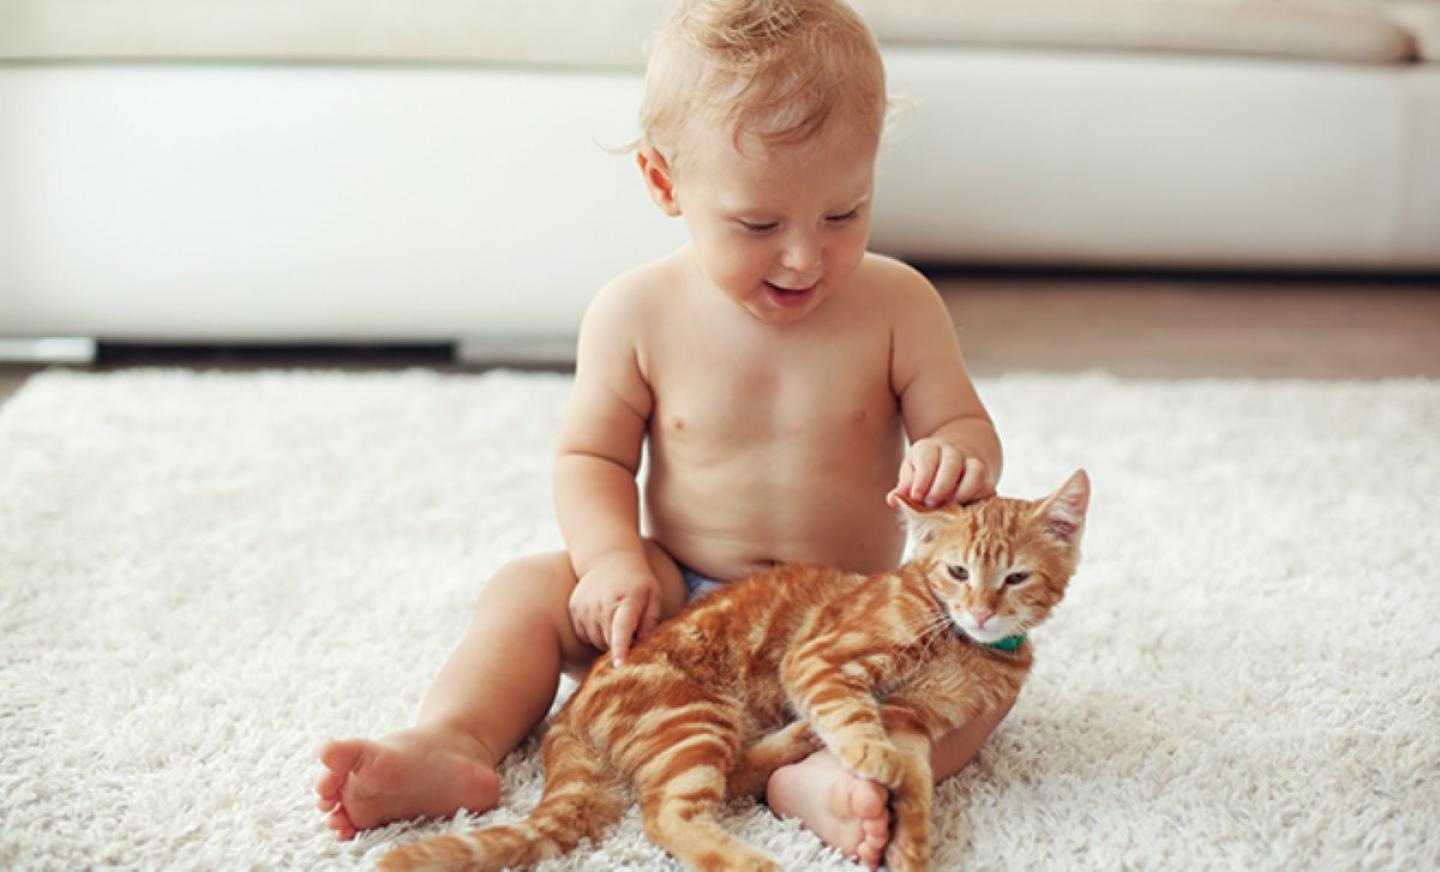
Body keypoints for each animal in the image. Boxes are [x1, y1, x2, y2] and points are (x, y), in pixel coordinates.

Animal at [377, 471, 1082, 872]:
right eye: (958, 572)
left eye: (1015, 578)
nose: (982, 610)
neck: (961, 644)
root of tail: (568, 718)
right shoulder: (821, 657)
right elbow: (853, 714)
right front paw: (868, 754)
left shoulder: (915, 722)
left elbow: (917, 786)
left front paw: (908, 847)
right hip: (693, 716)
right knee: (669, 817)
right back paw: (759, 860)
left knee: (726, 781)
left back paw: (799, 748)